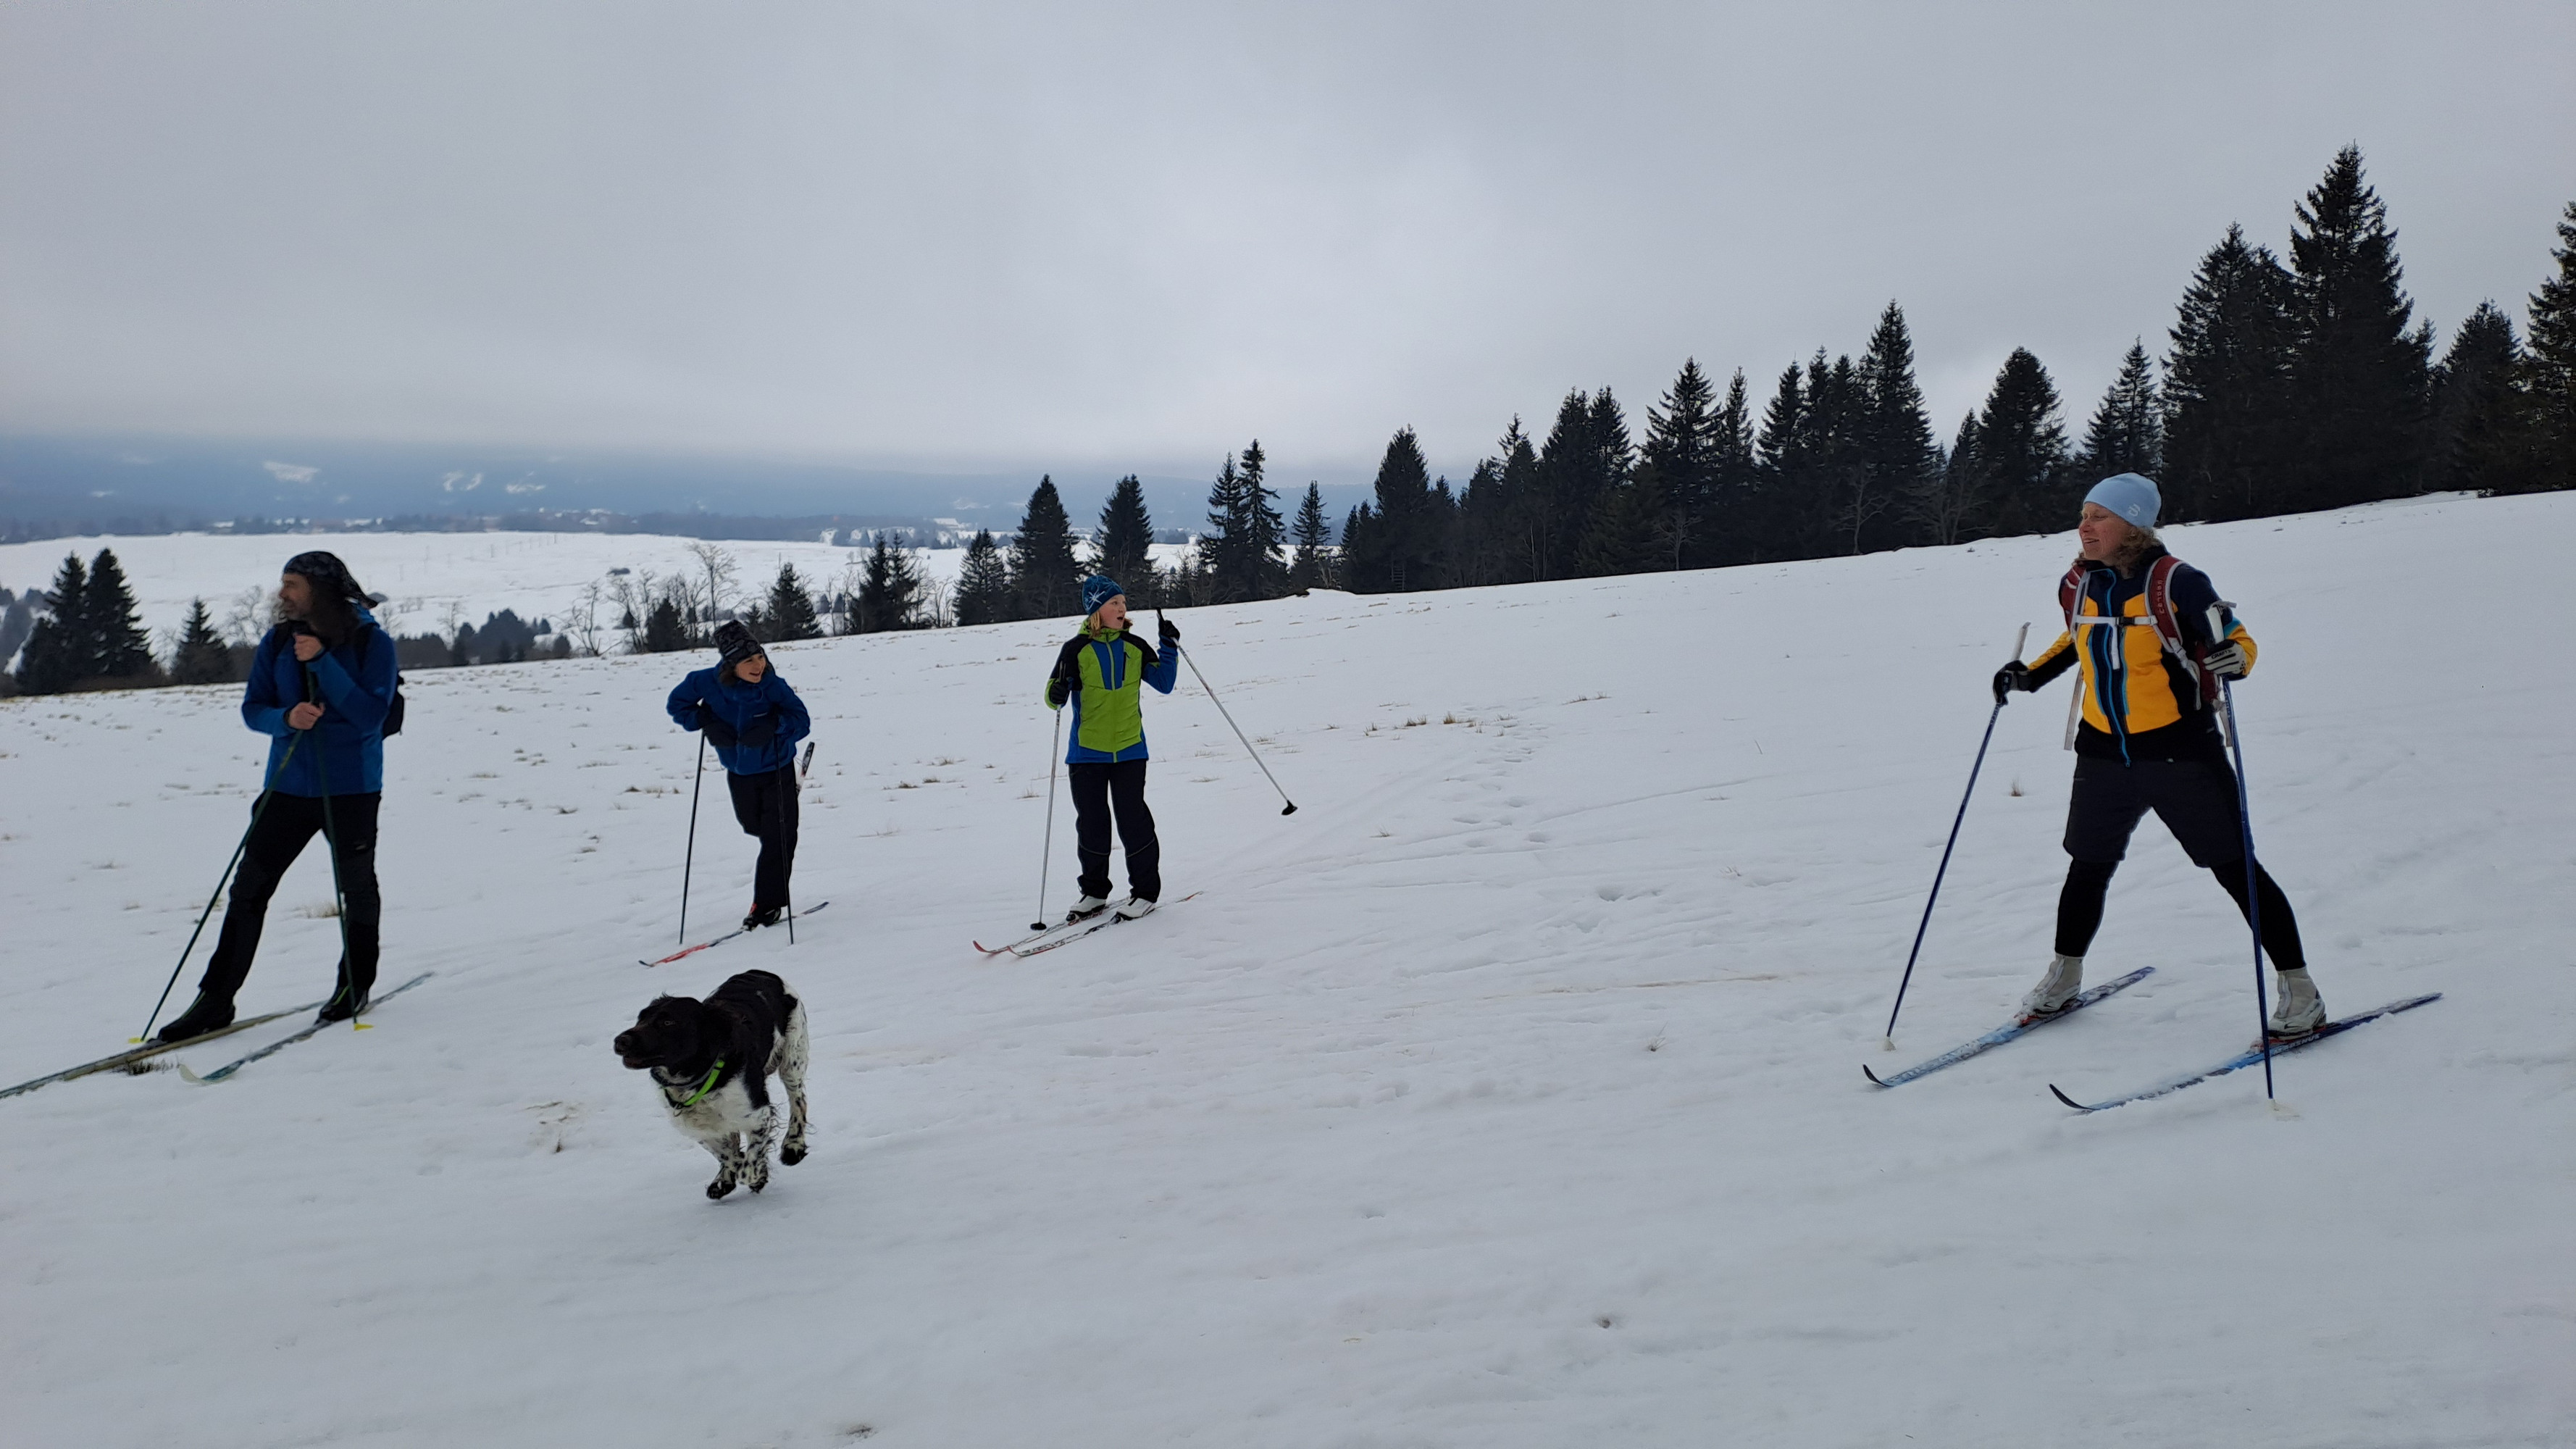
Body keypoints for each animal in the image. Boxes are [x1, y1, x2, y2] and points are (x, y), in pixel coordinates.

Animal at [614, 969, 810, 1199]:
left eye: (668, 1022)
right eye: (641, 1018)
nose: (620, 1041)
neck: (694, 1081)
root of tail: (761, 972)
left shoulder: (758, 1115)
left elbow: (747, 1166)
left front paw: (758, 1176)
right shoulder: (700, 1127)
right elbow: (728, 1154)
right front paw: (725, 1180)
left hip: (792, 1060)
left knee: (798, 1100)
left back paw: (793, 1146)